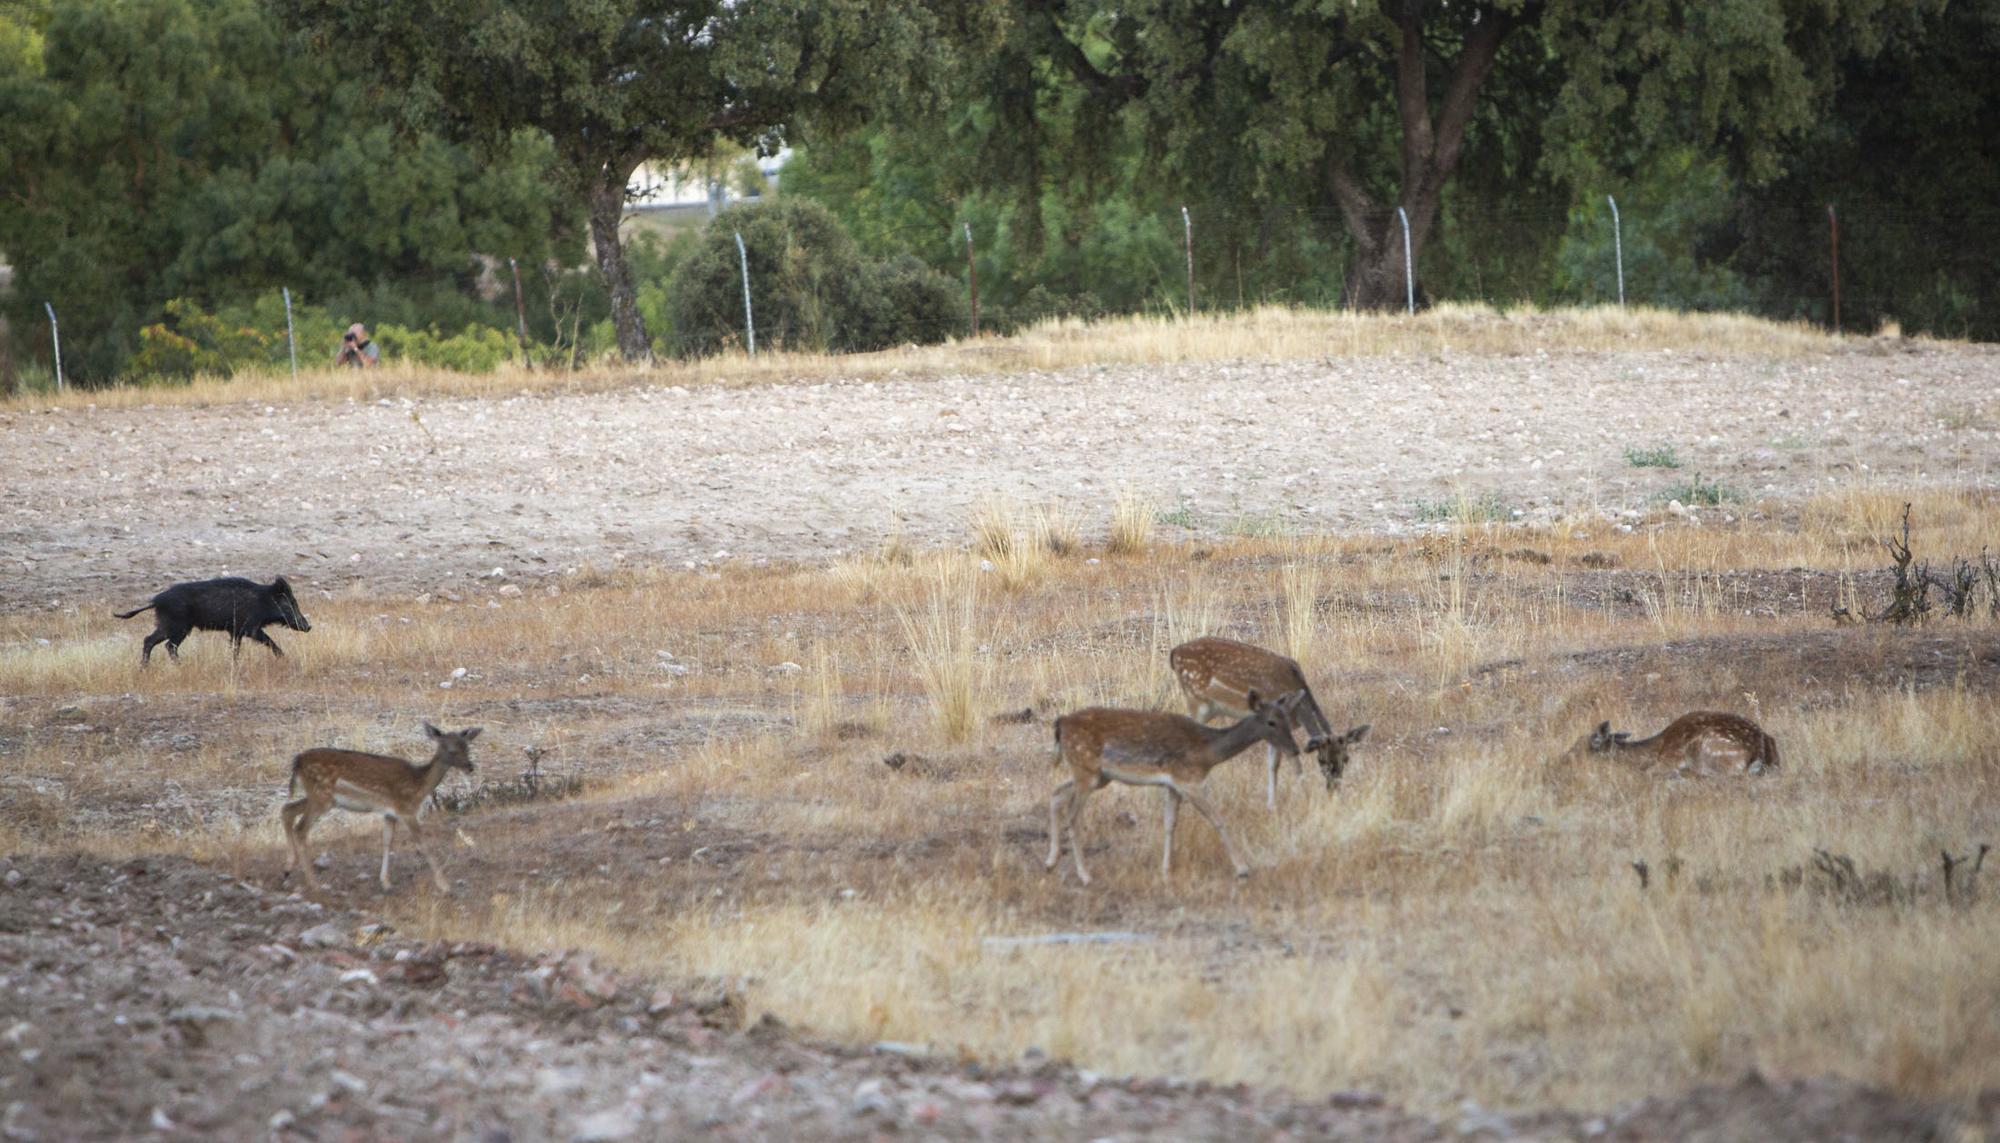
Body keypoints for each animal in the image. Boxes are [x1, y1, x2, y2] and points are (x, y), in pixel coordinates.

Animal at [280, 723, 482, 891]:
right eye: (451, 749)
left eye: (467, 747)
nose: (470, 767)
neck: (418, 785)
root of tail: (297, 761)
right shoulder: (406, 810)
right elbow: (423, 844)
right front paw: (445, 885)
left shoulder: (389, 813)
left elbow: (387, 842)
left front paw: (385, 882)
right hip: (322, 796)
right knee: (301, 828)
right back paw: (314, 883)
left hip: (319, 797)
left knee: (287, 809)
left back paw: (288, 868)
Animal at [1040, 687, 1304, 883]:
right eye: (1271, 721)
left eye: (1287, 718)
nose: (1295, 748)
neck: (1207, 752)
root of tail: (1061, 723)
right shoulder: (1189, 780)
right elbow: (1217, 818)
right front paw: (1242, 868)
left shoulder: (1173, 784)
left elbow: (1170, 824)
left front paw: (1165, 870)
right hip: (1086, 770)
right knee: (1073, 816)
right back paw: (1085, 876)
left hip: (1096, 776)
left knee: (1055, 794)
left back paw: (1051, 862)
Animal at [1168, 635, 1368, 811]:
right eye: (1321, 759)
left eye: (1346, 758)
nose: (1334, 788)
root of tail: (1174, 653)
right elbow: (1292, 761)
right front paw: (1304, 796)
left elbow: (1273, 765)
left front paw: (1271, 805)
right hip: (1196, 700)